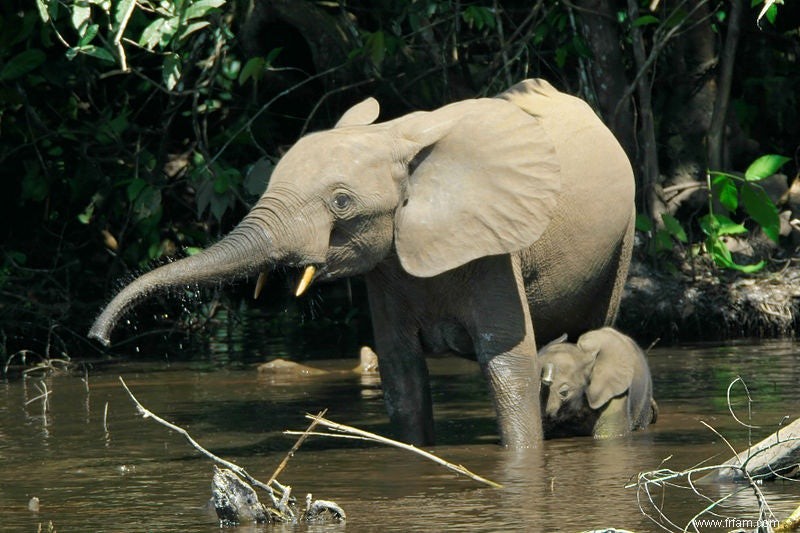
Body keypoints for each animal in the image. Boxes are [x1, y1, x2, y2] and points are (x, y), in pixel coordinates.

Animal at [89, 79, 636, 446]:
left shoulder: (494, 248)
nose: (99, 339)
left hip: (623, 236)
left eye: (341, 202)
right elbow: (401, 375)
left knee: (592, 329)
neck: (396, 138)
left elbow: (507, 365)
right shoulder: (387, 267)